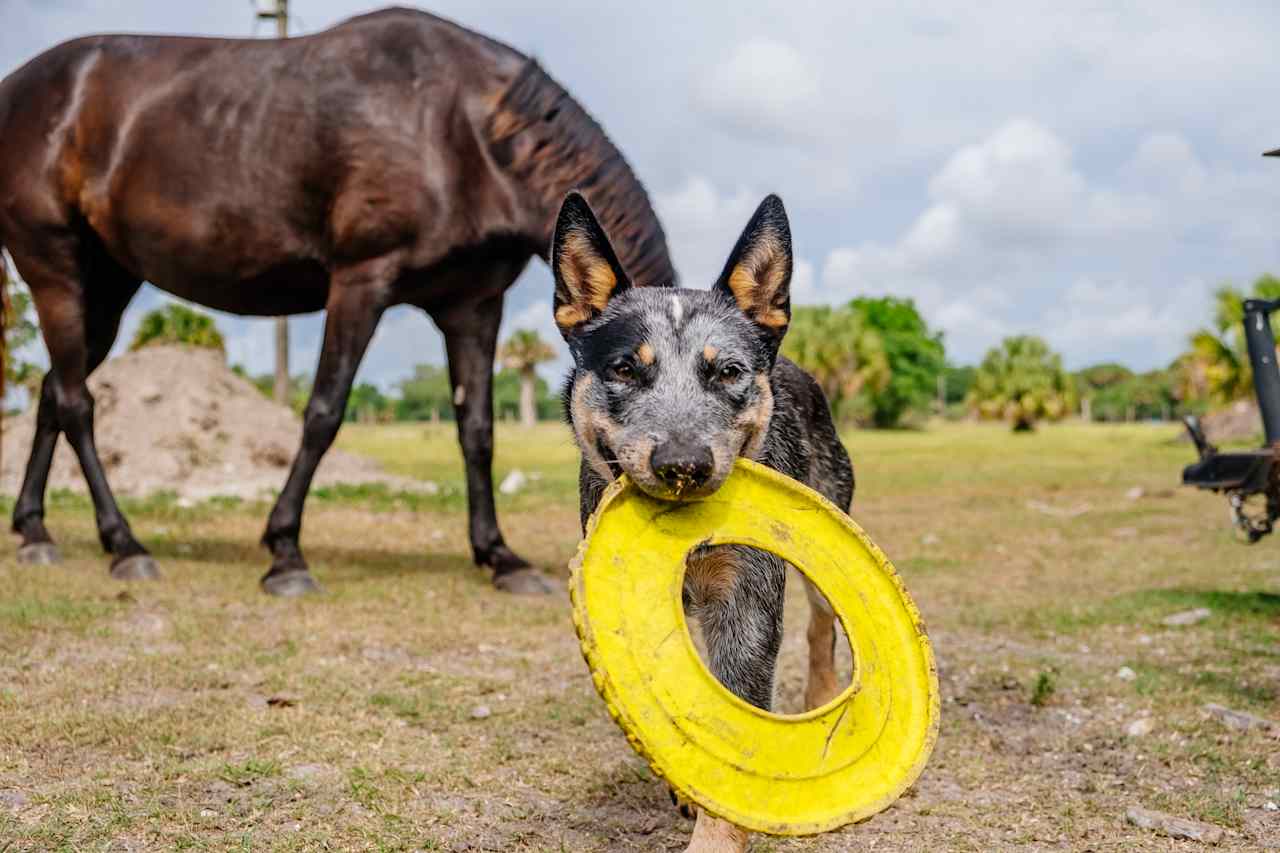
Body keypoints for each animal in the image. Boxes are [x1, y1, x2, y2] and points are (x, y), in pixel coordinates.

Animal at [0, 8, 675, 591]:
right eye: (624, 371)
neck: (460, 127)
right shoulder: (360, 282)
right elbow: (323, 412)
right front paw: (285, 552)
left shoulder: (473, 305)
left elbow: (477, 430)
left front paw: (500, 557)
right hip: (55, 272)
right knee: (78, 404)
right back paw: (124, 545)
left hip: (107, 289)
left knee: (52, 394)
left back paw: (35, 531)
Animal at [555, 189, 855, 845]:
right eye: (625, 369)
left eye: (728, 372)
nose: (683, 464)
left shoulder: (746, 600)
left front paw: (716, 836)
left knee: (821, 627)